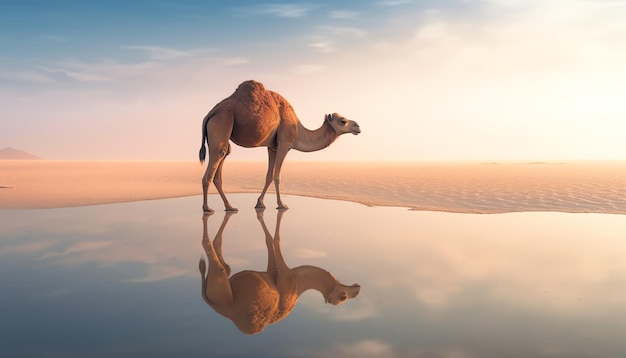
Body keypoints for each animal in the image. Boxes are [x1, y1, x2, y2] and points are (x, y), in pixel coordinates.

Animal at [197, 79, 358, 211]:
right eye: (343, 121)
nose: (358, 126)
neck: (298, 129)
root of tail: (210, 113)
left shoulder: (272, 146)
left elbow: (269, 175)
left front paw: (260, 203)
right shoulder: (285, 144)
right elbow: (277, 176)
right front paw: (281, 204)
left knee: (222, 160)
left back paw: (230, 207)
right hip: (222, 122)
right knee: (215, 163)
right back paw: (207, 208)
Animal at [197, 210, 358, 336]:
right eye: (343, 297)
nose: (358, 288)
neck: (298, 282)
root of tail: (216, 306)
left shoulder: (274, 271)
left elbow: (270, 240)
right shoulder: (284, 276)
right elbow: (276, 240)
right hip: (222, 288)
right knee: (216, 258)